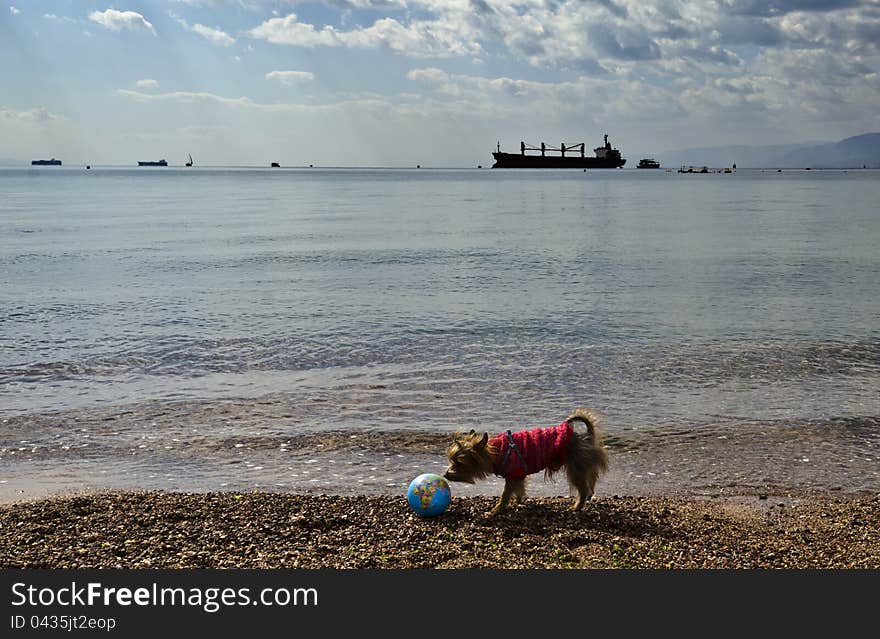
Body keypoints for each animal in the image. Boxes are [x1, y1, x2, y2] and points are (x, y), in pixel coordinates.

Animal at [444, 408, 608, 516]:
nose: (445, 475)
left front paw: (497, 509)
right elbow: (519, 489)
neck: (497, 451)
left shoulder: (512, 475)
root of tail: (587, 437)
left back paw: (577, 507)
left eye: (459, 463)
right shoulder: (518, 475)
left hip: (576, 468)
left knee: (583, 489)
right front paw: (518, 501)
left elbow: (505, 494)